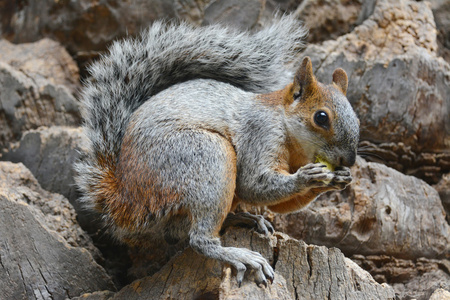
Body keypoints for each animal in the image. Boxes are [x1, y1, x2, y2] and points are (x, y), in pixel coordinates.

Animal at [75, 15, 360, 288]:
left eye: (357, 118)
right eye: (321, 117)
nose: (349, 160)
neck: (294, 142)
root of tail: (125, 198)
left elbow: (285, 205)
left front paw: (338, 179)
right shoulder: (260, 134)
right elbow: (252, 184)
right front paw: (308, 177)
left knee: (178, 232)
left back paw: (243, 219)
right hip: (206, 157)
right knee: (198, 240)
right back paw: (239, 255)